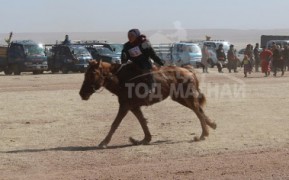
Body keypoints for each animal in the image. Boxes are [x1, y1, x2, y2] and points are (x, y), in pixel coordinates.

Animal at [79, 60, 216, 148]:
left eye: (92, 74)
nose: (82, 93)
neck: (122, 79)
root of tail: (188, 71)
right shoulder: (133, 107)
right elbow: (142, 121)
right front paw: (145, 139)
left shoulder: (124, 106)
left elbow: (115, 124)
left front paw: (104, 142)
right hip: (179, 98)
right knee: (199, 109)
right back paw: (212, 125)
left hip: (187, 97)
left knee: (198, 111)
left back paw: (203, 135)